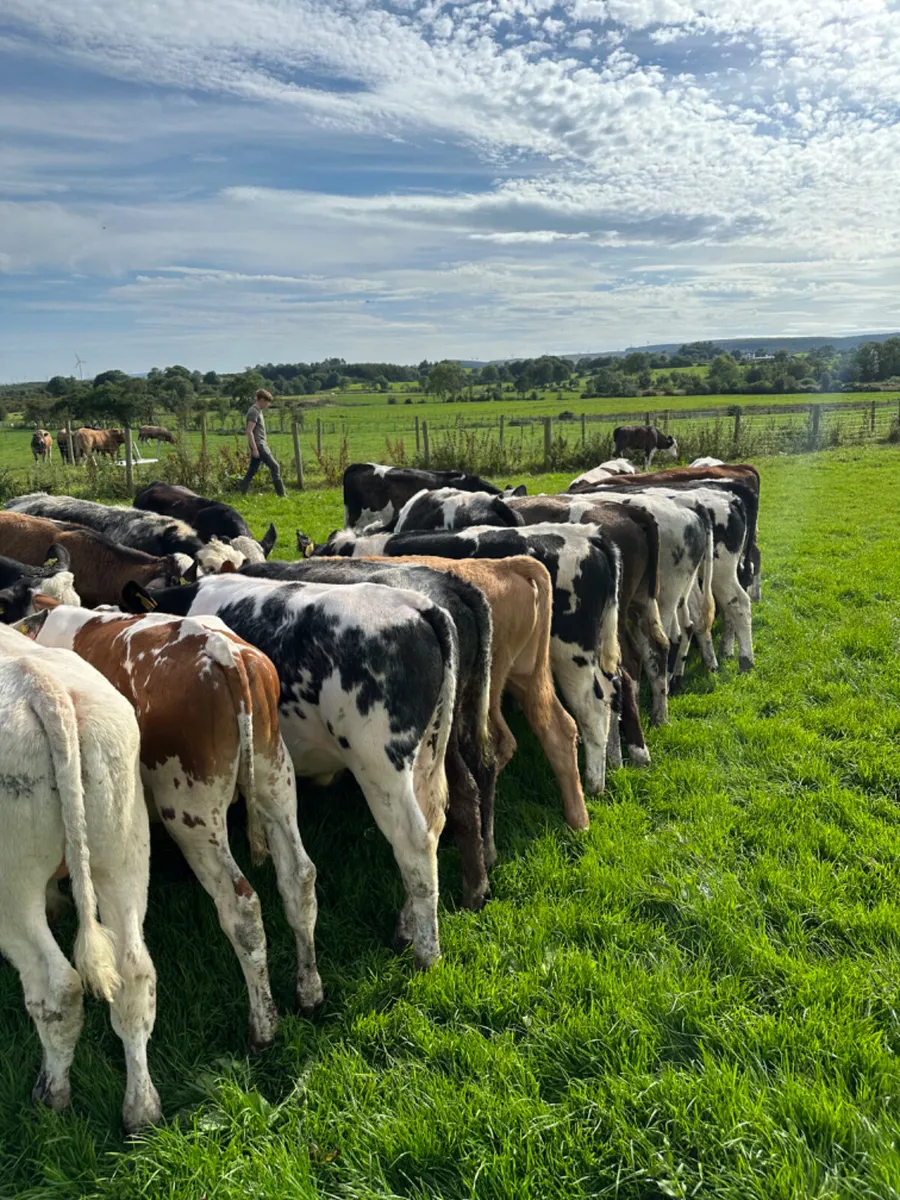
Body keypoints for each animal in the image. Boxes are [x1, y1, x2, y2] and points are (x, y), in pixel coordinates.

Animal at [0, 625, 160, 1132]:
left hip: (9, 883)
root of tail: (40, 684)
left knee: (58, 987)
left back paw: (52, 1096)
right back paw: (142, 1110)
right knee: (134, 974)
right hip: (123, 849)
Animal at [27, 605, 324, 1050]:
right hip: (276, 779)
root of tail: (224, 651)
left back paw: (263, 1026)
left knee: (241, 907)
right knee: (299, 878)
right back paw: (310, 992)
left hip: (190, 812)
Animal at [120, 573, 458, 968]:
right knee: (433, 823)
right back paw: (407, 929)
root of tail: (417, 606)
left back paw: (427, 953)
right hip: (427, 753)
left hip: (380, 763)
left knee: (413, 841)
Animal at [240, 558, 496, 910]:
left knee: (457, 797)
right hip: (461, 715)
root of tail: (455, 585)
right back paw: (486, 863)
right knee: (483, 770)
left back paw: (469, 890)